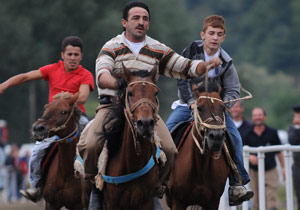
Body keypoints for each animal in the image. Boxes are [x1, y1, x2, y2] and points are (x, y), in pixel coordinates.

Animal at [101, 65, 162, 209]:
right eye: (130, 93)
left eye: (155, 93)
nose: (145, 123)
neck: (132, 164)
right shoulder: (111, 203)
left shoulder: (145, 202)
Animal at [168, 77, 231, 210]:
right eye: (200, 108)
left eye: (223, 108)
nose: (216, 136)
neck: (200, 166)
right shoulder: (177, 201)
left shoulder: (213, 202)